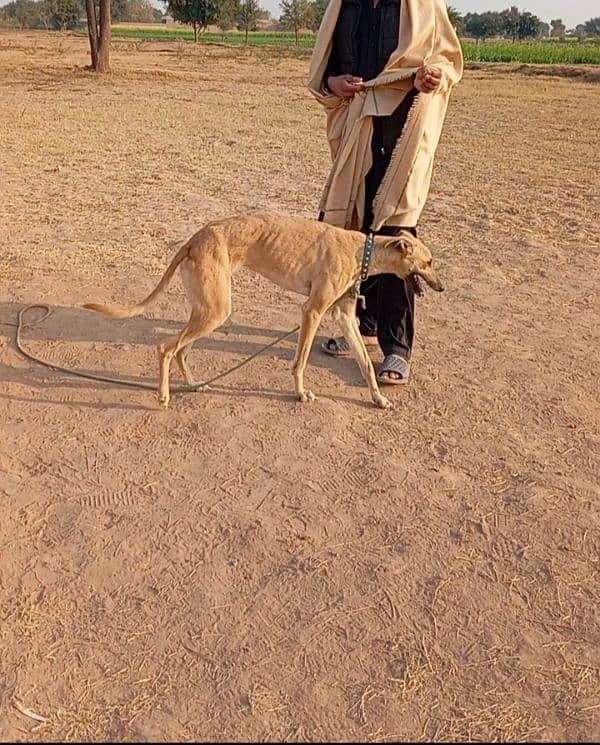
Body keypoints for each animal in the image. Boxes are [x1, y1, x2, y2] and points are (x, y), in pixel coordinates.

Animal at [82, 211, 442, 406]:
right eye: (428, 262)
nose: (442, 287)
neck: (361, 251)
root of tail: (194, 238)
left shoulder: (343, 316)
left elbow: (366, 363)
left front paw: (378, 399)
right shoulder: (312, 311)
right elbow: (300, 361)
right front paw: (301, 394)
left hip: (208, 309)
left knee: (181, 350)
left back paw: (194, 384)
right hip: (215, 311)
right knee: (165, 348)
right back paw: (163, 395)